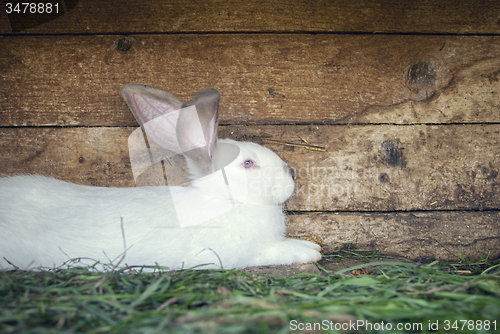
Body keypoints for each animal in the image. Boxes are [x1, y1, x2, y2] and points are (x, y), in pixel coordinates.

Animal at [0, 84, 320, 272]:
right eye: (249, 163)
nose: (292, 173)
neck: (223, 200)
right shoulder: (233, 254)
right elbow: (271, 252)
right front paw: (307, 250)